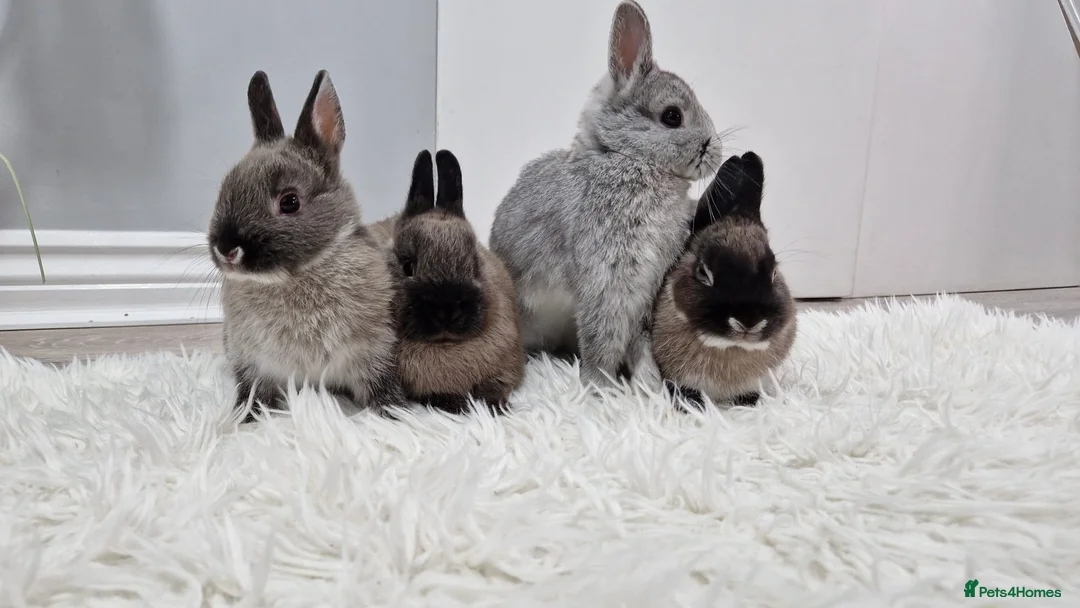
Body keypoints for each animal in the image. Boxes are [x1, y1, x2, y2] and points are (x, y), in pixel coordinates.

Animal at [208, 69, 404, 423]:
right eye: (226, 189)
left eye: (290, 202)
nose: (226, 249)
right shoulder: (253, 362)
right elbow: (251, 392)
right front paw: (243, 419)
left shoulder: (375, 353)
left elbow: (380, 388)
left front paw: (392, 417)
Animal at [378, 149, 526, 413]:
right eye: (407, 266)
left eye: (475, 264)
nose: (448, 312)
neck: (445, 345)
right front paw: (459, 404)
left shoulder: (506, 367)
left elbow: (495, 386)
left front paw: (495, 406)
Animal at [489, 0, 724, 389]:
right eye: (671, 116)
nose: (715, 152)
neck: (629, 159)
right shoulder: (608, 281)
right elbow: (604, 339)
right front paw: (600, 389)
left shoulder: (647, 288)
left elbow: (639, 339)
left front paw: (649, 386)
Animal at [651, 151, 797, 407]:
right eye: (703, 272)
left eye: (774, 273)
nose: (748, 321)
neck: (730, 347)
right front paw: (690, 406)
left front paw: (749, 403)